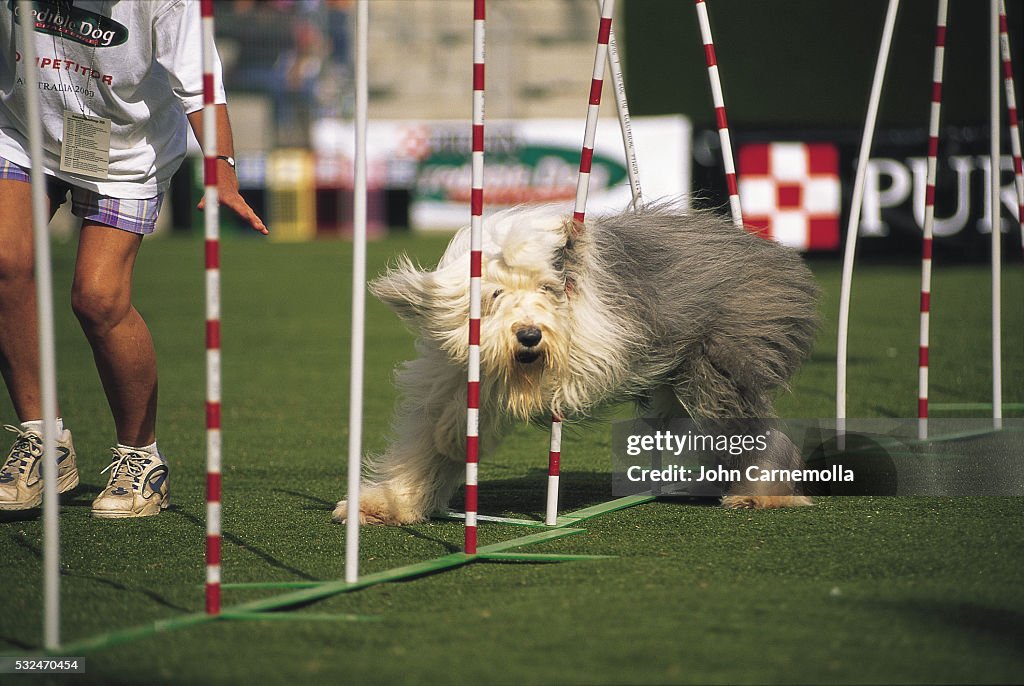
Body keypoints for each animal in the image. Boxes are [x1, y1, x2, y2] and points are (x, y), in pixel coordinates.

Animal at [333, 200, 815, 528]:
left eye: (548, 289)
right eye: (494, 294)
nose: (529, 336)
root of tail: (776, 255)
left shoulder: (599, 348)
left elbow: (530, 388)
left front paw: (462, 428)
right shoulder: (444, 374)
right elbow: (422, 444)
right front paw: (386, 503)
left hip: (719, 365)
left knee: (755, 428)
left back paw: (759, 493)